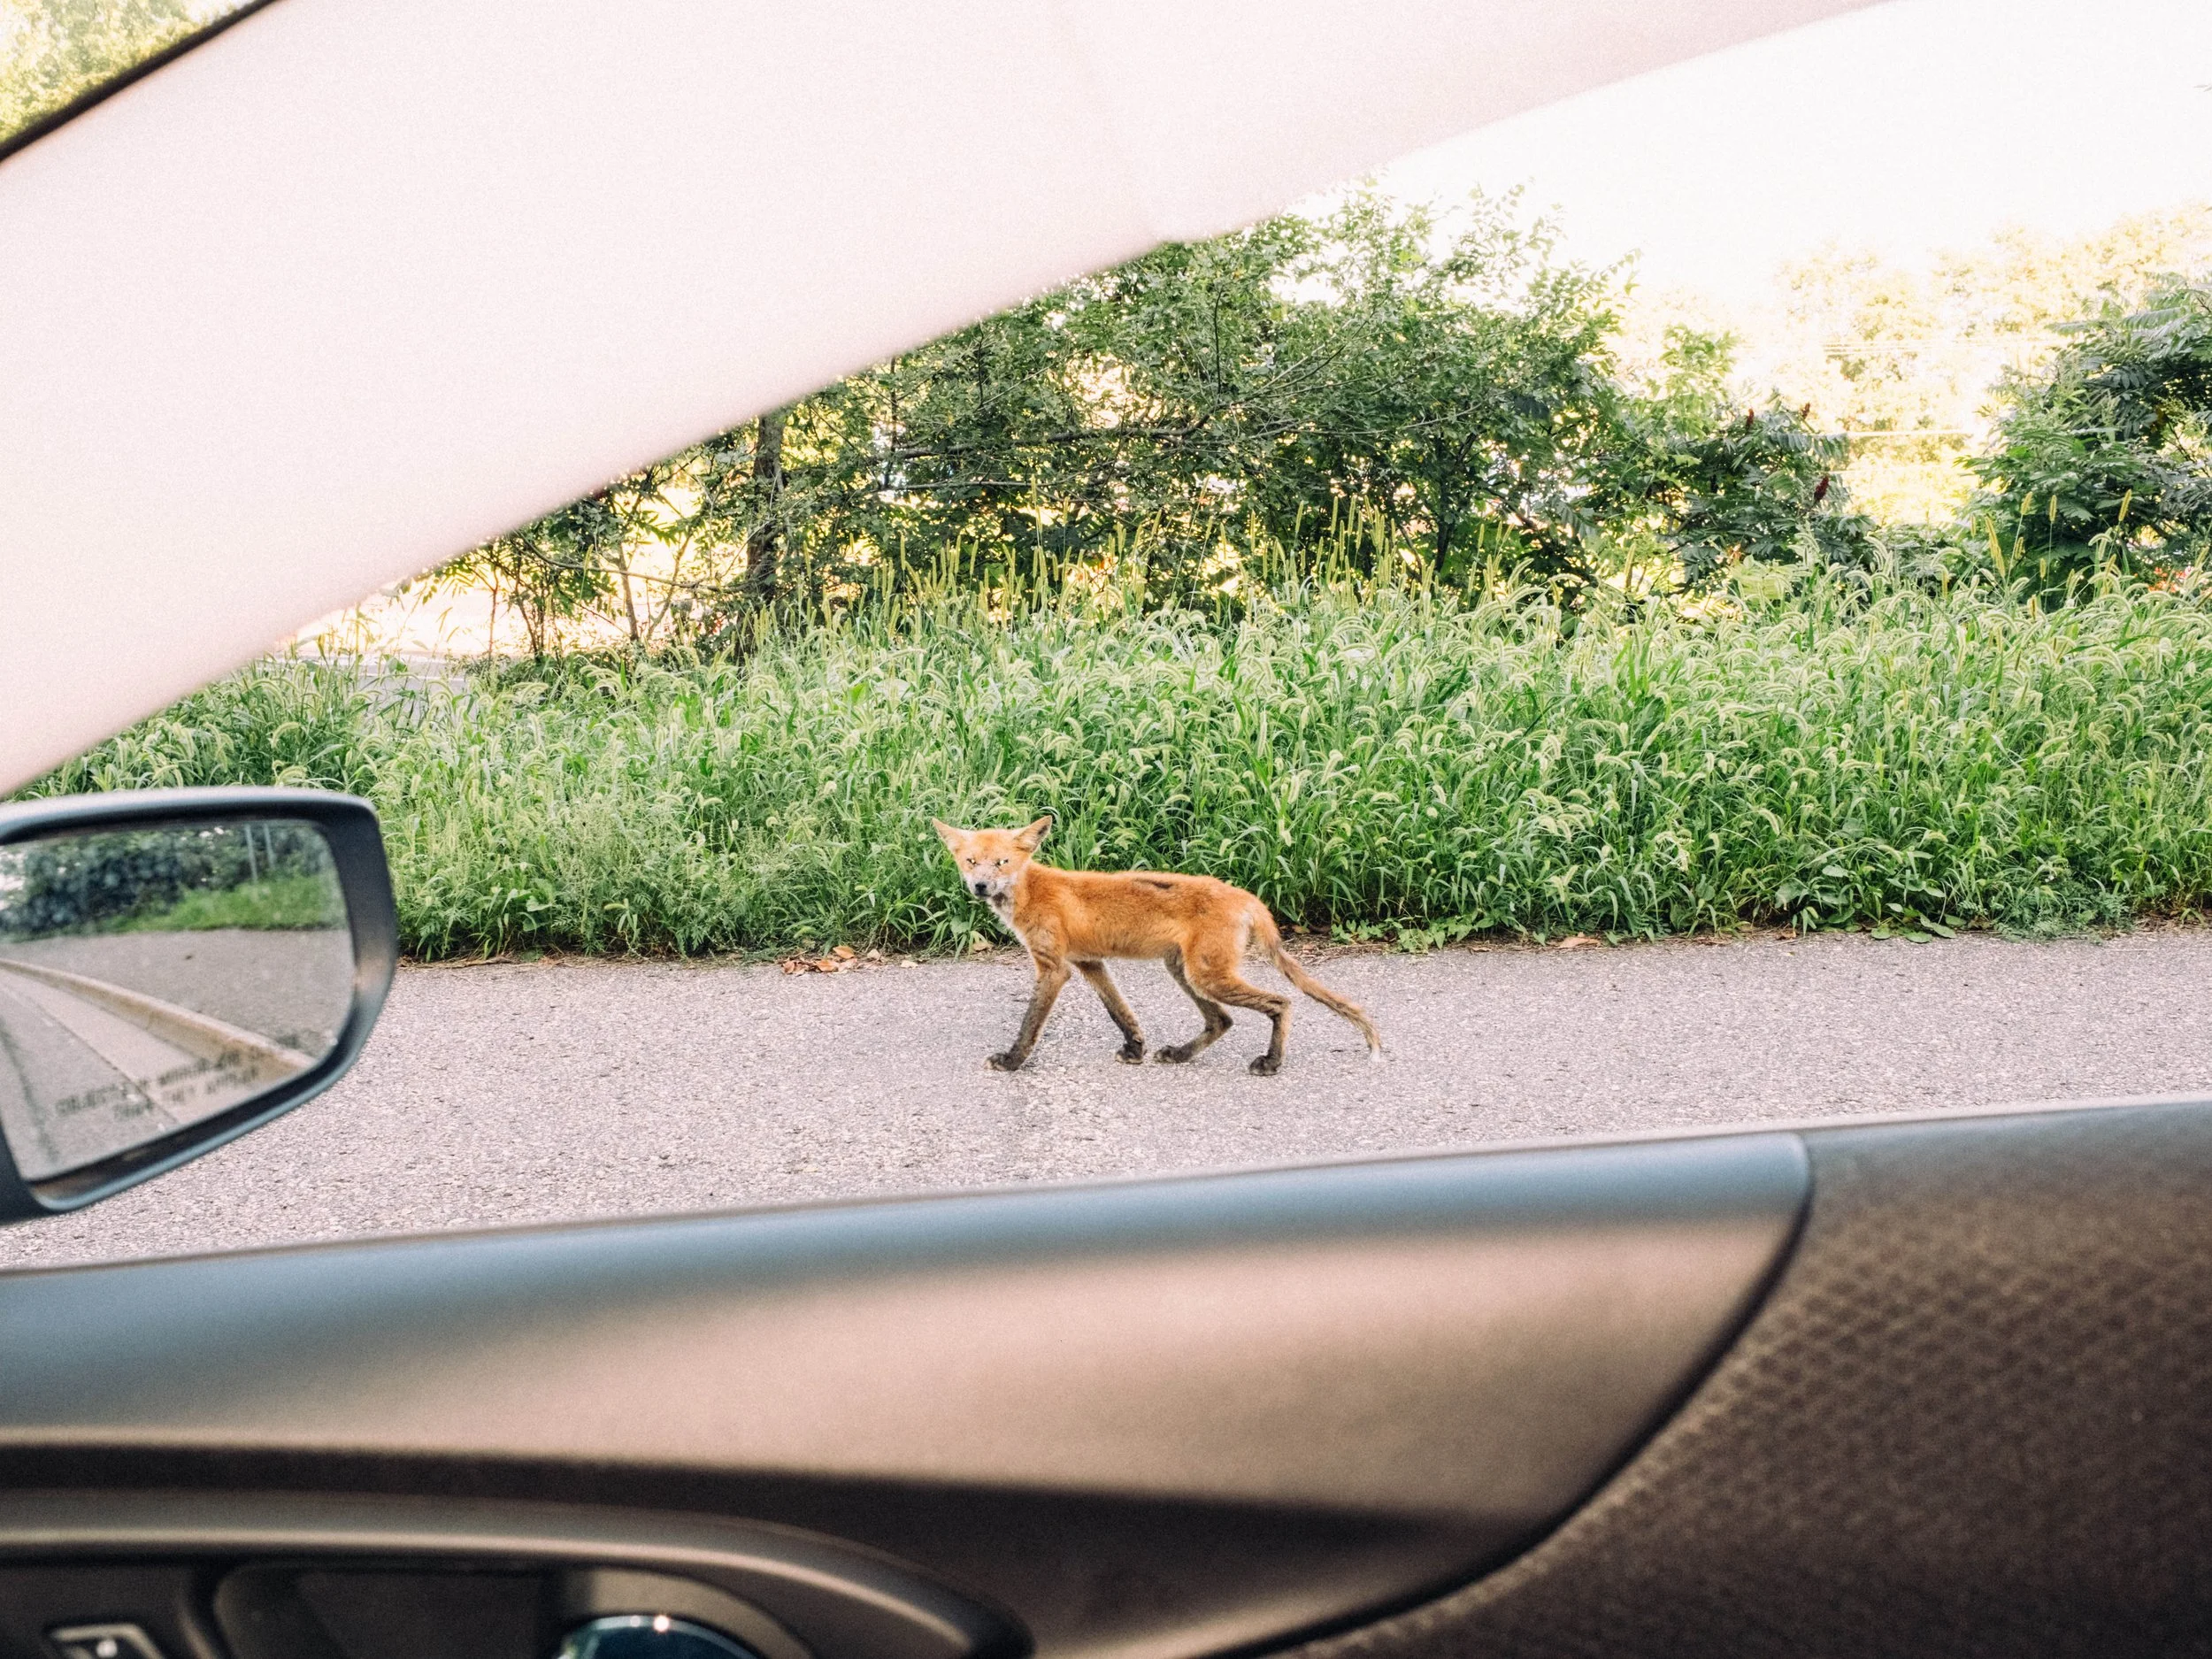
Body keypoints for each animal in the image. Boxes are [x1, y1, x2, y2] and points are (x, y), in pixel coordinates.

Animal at [932, 815, 1382, 1075]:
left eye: (1002, 863)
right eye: (971, 861)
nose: (980, 886)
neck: (1031, 892)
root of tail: (1247, 897)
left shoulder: (1054, 968)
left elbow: (1029, 1025)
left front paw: (1012, 1061)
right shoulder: (1089, 962)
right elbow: (1120, 1011)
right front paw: (1135, 1049)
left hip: (1207, 976)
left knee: (1281, 1002)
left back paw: (1271, 1062)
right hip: (1184, 972)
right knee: (1222, 1021)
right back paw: (1181, 1055)